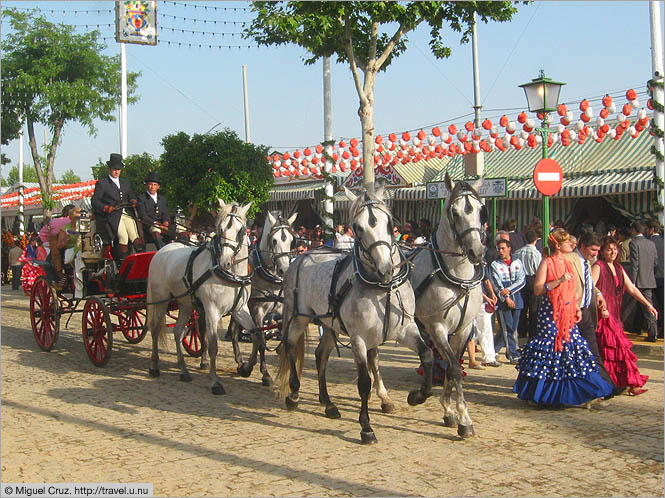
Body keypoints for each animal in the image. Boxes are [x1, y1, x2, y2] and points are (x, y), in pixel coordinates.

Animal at [147, 200, 255, 394]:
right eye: (220, 228)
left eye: (240, 230)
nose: (225, 262)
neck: (232, 276)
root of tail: (162, 250)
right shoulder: (212, 311)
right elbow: (212, 345)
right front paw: (215, 382)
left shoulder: (239, 310)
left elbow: (257, 336)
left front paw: (247, 368)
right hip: (161, 300)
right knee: (155, 329)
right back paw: (154, 366)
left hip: (185, 304)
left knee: (178, 331)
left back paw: (183, 370)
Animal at [230, 210, 296, 386]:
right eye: (274, 240)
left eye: (291, 240)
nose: (284, 270)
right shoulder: (257, 310)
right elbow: (260, 340)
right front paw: (264, 373)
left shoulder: (280, 310)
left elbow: (261, 337)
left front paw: (248, 366)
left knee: (234, 331)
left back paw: (239, 361)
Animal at [274, 182, 434, 444]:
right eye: (358, 228)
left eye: (389, 222)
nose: (385, 269)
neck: (381, 288)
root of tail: (302, 256)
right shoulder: (359, 338)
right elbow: (364, 383)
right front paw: (366, 427)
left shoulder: (405, 330)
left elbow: (427, 355)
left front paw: (417, 396)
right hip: (299, 317)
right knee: (288, 346)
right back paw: (294, 394)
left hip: (329, 325)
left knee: (320, 355)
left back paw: (328, 404)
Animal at [408, 173, 486, 438]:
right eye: (454, 211)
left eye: (480, 210)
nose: (477, 251)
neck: (456, 276)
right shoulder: (436, 327)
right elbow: (452, 368)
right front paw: (464, 419)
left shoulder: (463, 329)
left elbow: (455, 367)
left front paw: (450, 411)